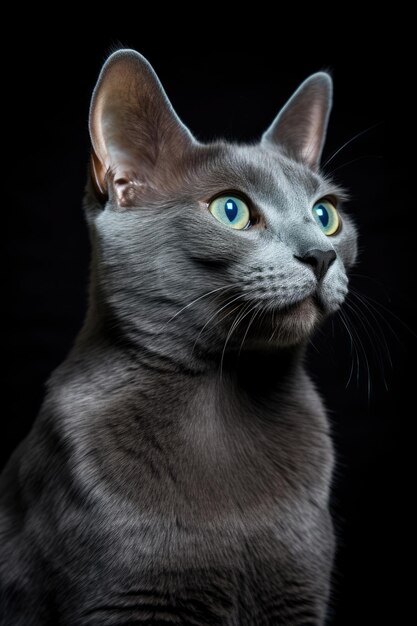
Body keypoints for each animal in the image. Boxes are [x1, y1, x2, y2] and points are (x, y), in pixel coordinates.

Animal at [0, 50, 358, 624]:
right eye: (231, 210)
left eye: (326, 215)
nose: (321, 255)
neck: (224, 390)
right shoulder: (123, 600)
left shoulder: (298, 595)